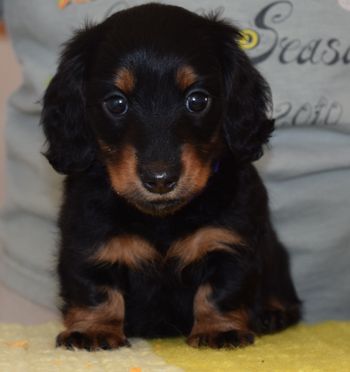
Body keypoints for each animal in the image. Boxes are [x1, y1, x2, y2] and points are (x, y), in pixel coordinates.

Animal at [41, 2, 300, 350]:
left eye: (197, 99)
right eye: (116, 103)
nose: (160, 179)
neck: (161, 219)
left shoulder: (229, 242)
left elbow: (220, 291)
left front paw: (220, 329)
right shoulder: (86, 240)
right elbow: (95, 289)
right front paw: (93, 330)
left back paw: (274, 313)